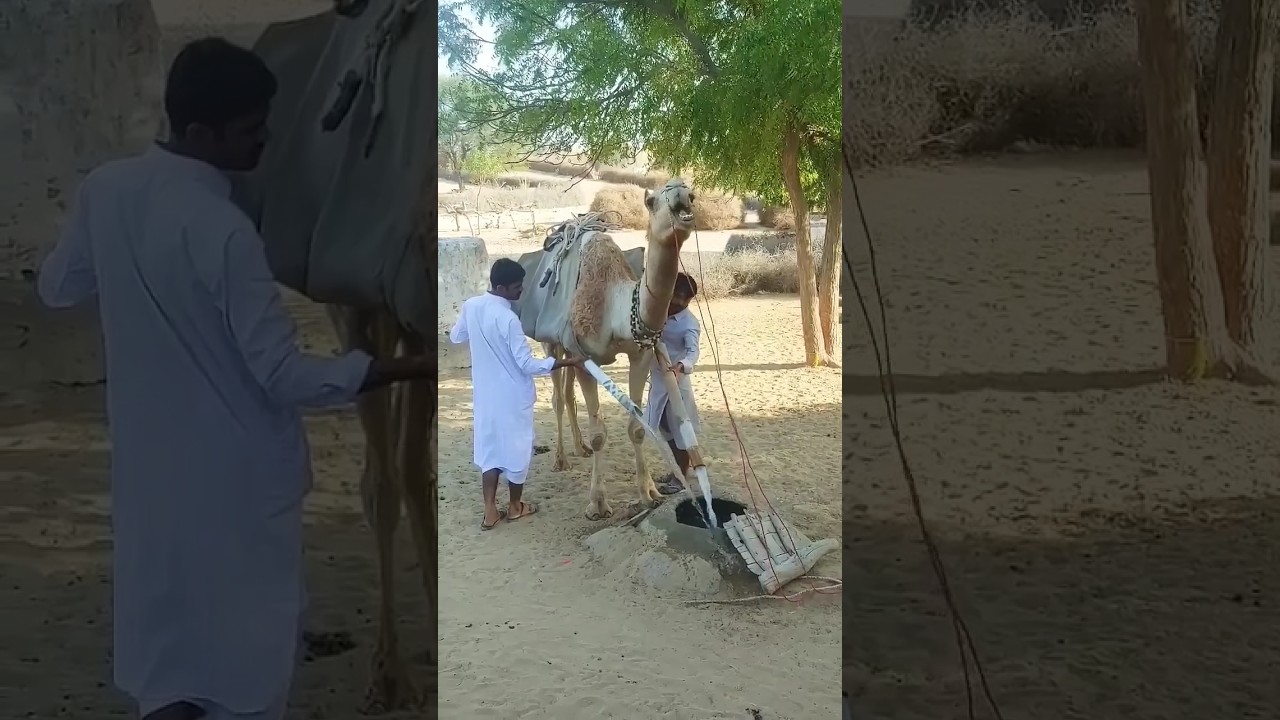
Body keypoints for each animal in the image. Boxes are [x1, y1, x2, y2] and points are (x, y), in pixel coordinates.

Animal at [515, 183, 696, 519]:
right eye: (652, 201)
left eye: (693, 194)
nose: (681, 191)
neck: (617, 307)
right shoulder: (585, 356)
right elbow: (599, 433)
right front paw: (597, 504)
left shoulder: (640, 354)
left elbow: (637, 427)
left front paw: (649, 493)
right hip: (552, 343)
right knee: (557, 397)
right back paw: (561, 459)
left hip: (568, 352)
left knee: (568, 394)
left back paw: (579, 448)